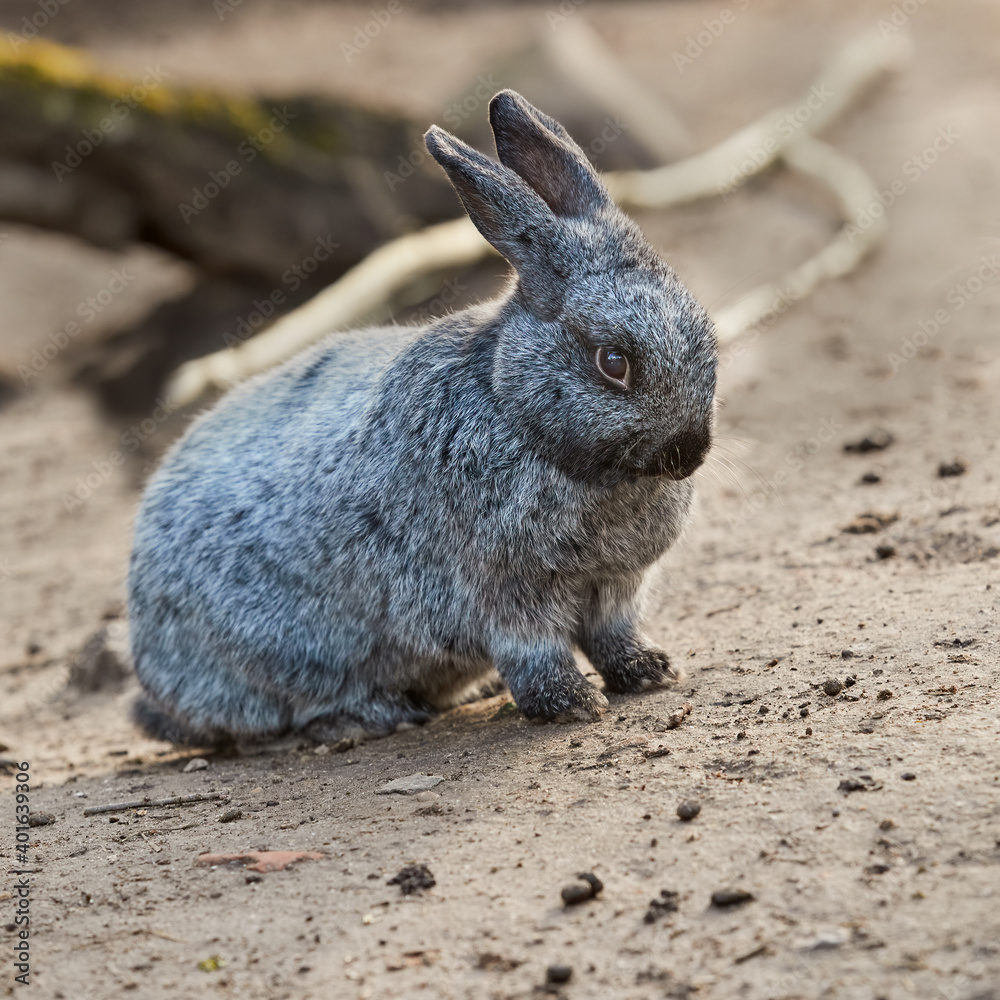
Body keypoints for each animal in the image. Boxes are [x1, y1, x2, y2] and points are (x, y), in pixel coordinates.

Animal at [127, 89, 717, 748]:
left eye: (704, 331)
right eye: (613, 362)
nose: (690, 451)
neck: (515, 410)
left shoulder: (616, 588)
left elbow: (615, 636)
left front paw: (650, 672)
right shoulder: (507, 594)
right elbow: (536, 652)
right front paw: (571, 705)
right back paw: (371, 716)